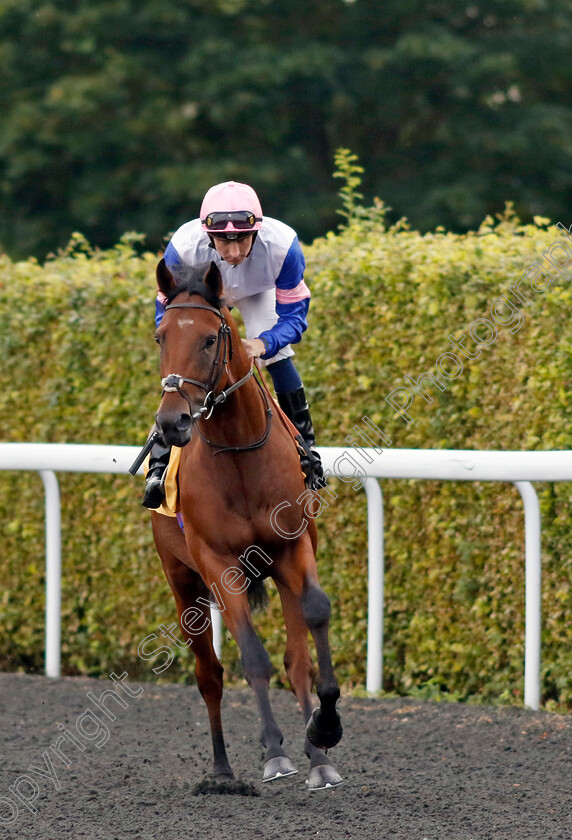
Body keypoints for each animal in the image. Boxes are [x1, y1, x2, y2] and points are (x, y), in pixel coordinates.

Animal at [150, 260, 342, 792]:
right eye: (161, 337)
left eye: (209, 339)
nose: (172, 423)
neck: (238, 453)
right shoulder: (218, 565)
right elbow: (251, 656)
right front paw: (274, 752)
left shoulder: (293, 547)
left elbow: (315, 617)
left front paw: (324, 729)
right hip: (183, 581)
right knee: (209, 674)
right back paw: (222, 770)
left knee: (296, 660)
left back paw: (317, 757)